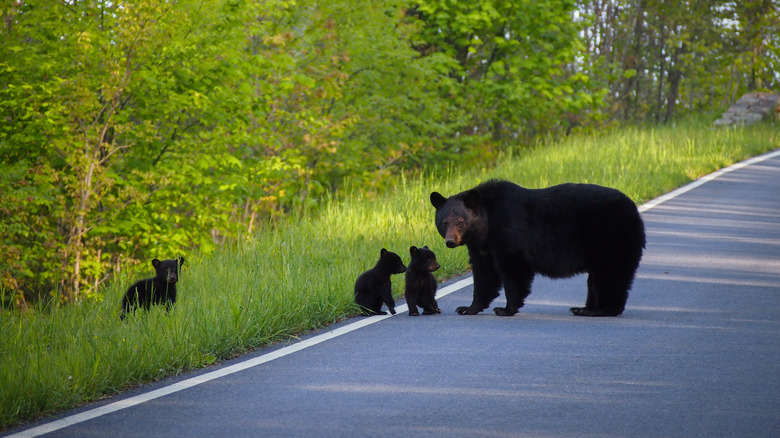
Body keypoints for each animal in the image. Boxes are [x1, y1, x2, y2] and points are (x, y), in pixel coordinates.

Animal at [430, 180, 644, 316]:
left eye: (460, 222)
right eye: (444, 222)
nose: (450, 241)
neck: (487, 223)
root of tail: (633, 208)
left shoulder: (508, 232)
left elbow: (513, 269)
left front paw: (505, 309)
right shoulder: (482, 247)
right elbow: (484, 275)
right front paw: (467, 308)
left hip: (610, 236)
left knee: (609, 273)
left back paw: (601, 310)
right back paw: (583, 309)